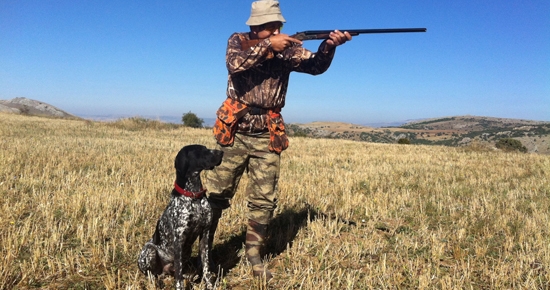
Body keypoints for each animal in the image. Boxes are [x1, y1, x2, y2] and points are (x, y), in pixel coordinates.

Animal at [138, 145, 224, 290]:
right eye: (200, 150)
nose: (221, 152)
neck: (193, 195)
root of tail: (164, 271)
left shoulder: (205, 234)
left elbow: (206, 267)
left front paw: (210, 285)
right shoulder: (179, 240)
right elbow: (179, 275)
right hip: (149, 250)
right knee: (152, 274)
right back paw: (154, 282)